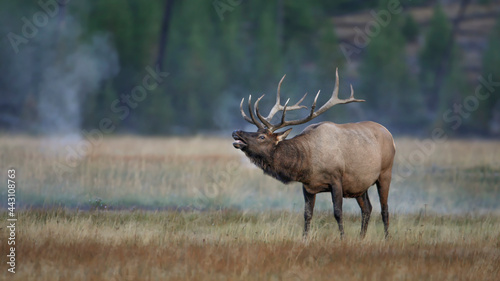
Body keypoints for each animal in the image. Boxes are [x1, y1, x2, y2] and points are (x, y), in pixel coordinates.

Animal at [232, 69, 396, 237]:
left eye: (262, 137)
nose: (236, 132)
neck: (307, 162)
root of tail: (389, 134)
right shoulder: (308, 187)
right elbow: (307, 215)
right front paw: (304, 238)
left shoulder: (336, 179)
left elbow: (338, 212)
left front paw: (343, 238)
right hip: (359, 184)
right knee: (367, 208)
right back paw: (361, 238)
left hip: (385, 173)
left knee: (384, 210)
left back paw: (386, 238)